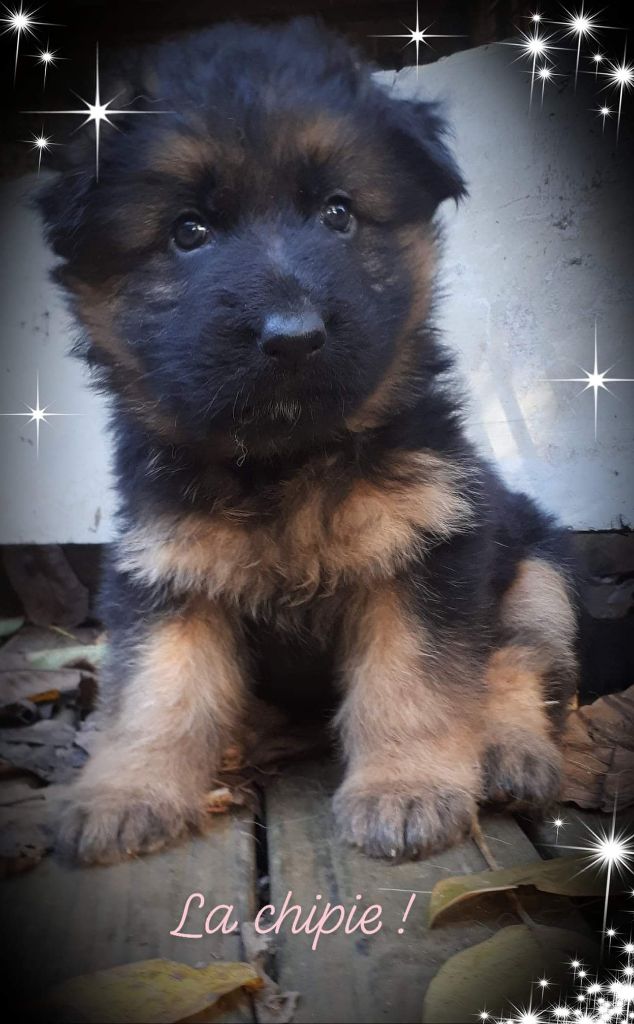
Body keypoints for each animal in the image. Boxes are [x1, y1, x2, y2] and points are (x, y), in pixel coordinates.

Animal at [35, 16, 581, 864]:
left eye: (338, 213)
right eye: (188, 231)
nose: (292, 337)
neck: (284, 464)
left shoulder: (427, 553)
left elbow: (412, 681)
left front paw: (405, 787)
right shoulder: (168, 573)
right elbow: (157, 693)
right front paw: (124, 791)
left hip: (540, 577)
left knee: (516, 665)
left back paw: (508, 751)